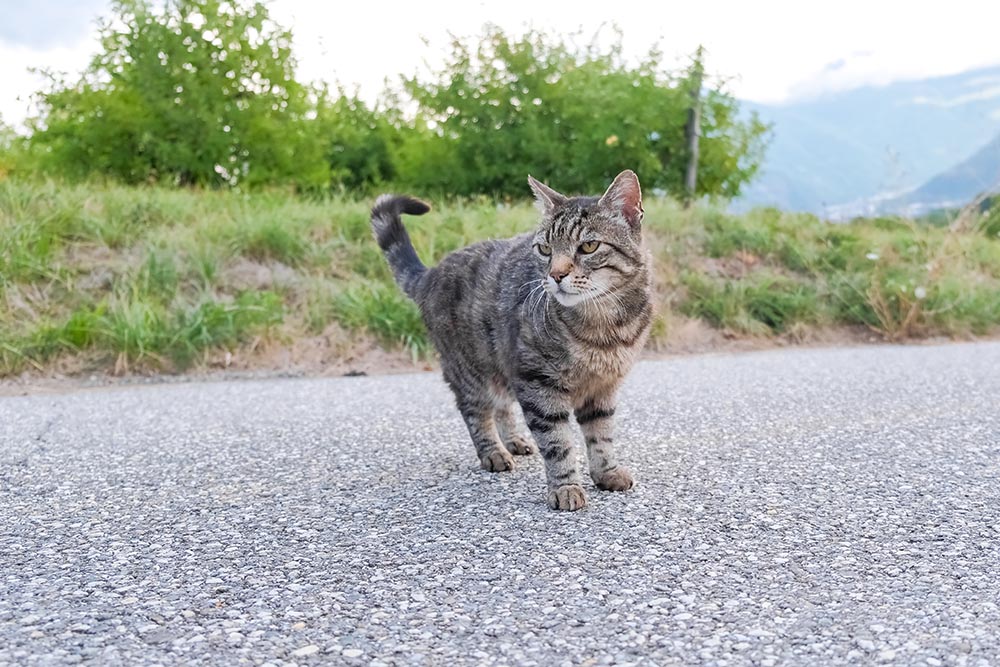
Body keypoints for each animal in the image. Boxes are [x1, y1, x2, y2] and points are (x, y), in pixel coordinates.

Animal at [372, 172, 652, 512]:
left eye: (588, 246)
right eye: (545, 249)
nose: (555, 275)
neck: (602, 325)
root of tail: (432, 272)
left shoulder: (603, 388)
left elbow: (602, 435)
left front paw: (607, 471)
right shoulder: (538, 383)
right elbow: (558, 442)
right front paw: (566, 487)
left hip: (502, 368)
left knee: (502, 406)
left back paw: (515, 441)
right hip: (471, 371)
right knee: (476, 412)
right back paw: (494, 452)